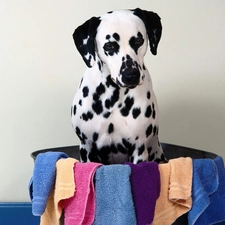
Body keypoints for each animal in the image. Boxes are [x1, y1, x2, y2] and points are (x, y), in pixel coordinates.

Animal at [71, 7, 166, 164]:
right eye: (109, 45)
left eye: (138, 40)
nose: (131, 75)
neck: (113, 96)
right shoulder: (86, 148)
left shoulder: (139, 149)